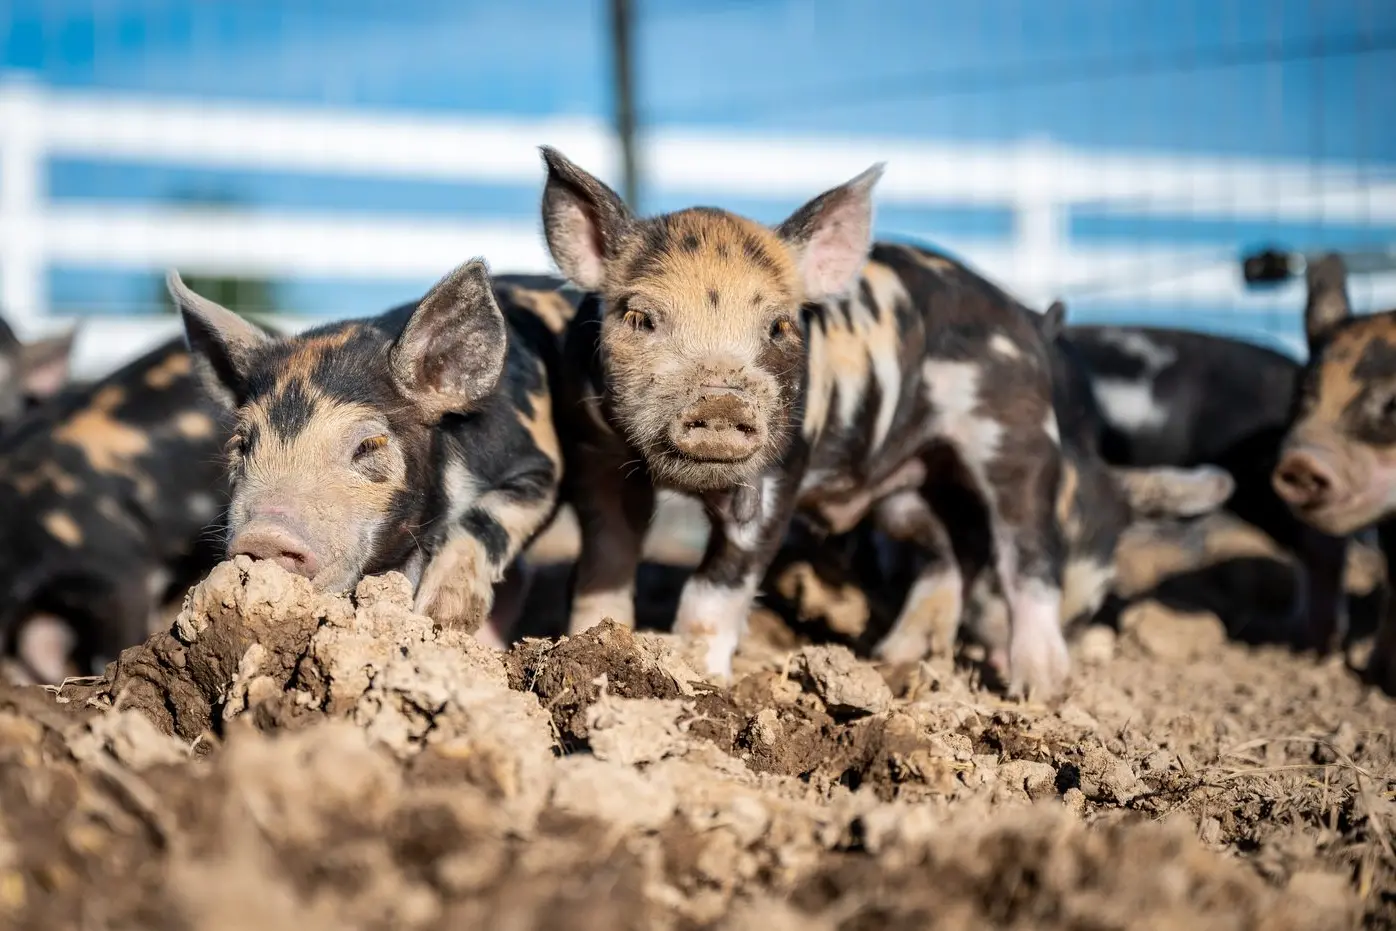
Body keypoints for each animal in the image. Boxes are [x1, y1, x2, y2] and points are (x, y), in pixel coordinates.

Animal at [169, 262, 576, 641]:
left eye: (368, 446)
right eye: (242, 445)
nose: (263, 536)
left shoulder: (537, 465)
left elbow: (487, 519)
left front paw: (443, 615)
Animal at [542, 146, 1142, 697]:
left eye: (780, 327)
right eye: (639, 317)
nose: (721, 403)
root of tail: (1027, 319)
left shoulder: (778, 472)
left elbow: (715, 590)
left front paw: (703, 679)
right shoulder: (596, 459)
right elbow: (606, 561)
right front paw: (591, 640)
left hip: (1017, 439)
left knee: (1030, 554)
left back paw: (1035, 689)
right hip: (908, 489)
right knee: (951, 550)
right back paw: (894, 660)